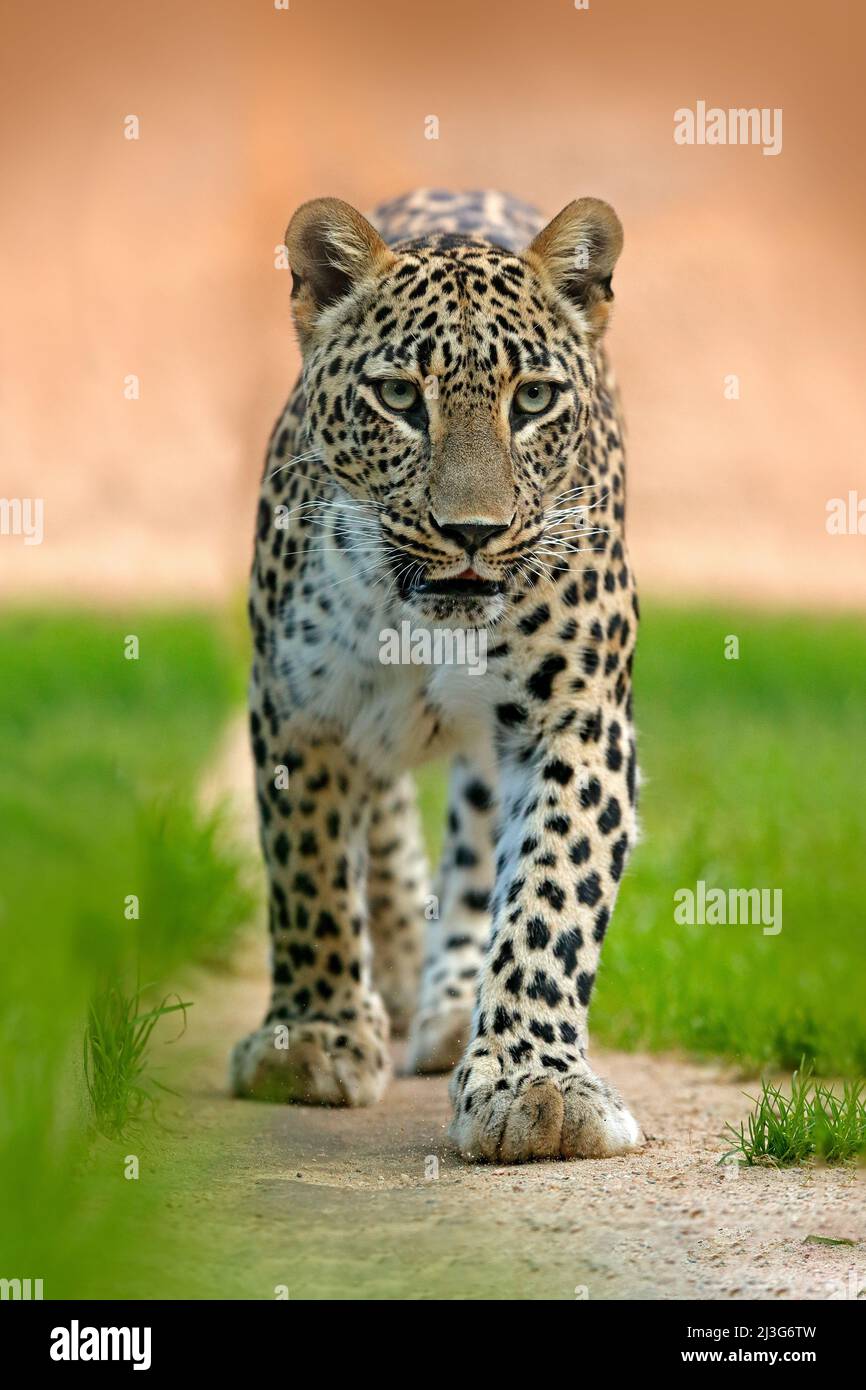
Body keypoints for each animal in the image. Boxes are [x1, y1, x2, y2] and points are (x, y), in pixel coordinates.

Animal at [230, 188, 643, 1165]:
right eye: (397, 398)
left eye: (533, 399)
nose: (472, 532)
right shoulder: (298, 709)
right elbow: (307, 874)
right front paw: (313, 1040)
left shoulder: (578, 712)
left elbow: (551, 891)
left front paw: (535, 1082)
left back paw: (454, 1005)